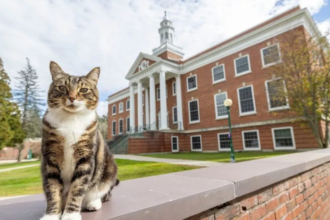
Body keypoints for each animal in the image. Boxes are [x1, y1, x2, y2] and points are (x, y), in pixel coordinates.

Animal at [40, 60, 118, 220]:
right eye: (62, 87)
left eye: (83, 90)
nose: (72, 98)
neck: (70, 119)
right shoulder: (50, 159)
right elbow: (52, 190)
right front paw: (51, 215)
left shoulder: (85, 158)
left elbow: (77, 189)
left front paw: (70, 215)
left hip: (109, 169)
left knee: (104, 193)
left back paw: (93, 203)